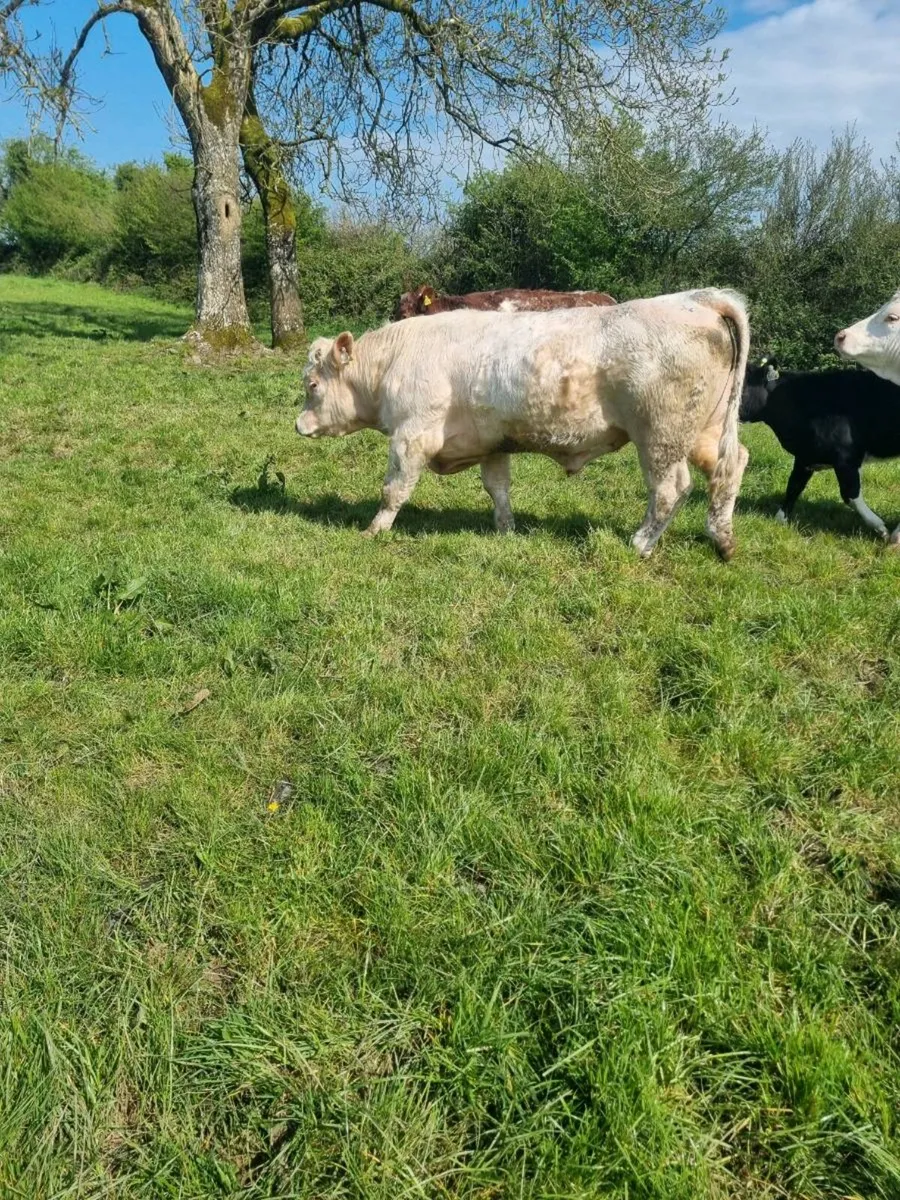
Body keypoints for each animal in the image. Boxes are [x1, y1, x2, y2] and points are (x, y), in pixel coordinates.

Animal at [296, 288, 750, 559]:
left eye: (312, 384)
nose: (298, 425)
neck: (396, 359)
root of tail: (695, 298)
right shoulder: (493, 442)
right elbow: (498, 489)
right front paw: (506, 530)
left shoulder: (412, 436)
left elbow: (394, 489)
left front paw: (373, 531)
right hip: (706, 431)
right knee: (730, 469)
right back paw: (723, 539)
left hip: (661, 436)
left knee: (671, 489)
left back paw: (640, 543)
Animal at [740, 358, 900, 544]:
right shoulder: (805, 457)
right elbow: (793, 486)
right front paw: (780, 520)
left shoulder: (846, 458)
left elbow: (850, 494)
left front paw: (881, 528)